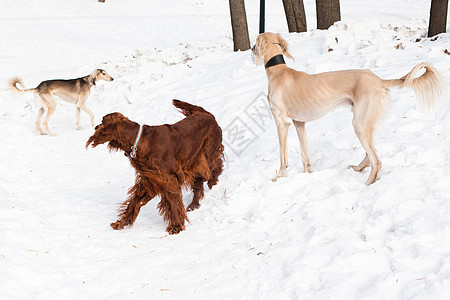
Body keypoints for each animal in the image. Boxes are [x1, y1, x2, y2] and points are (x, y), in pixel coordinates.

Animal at [85, 101, 223, 234]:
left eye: (102, 122)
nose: (95, 127)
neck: (139, 141)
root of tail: (204, 113)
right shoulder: (151, 179)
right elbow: (135, 201)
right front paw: (122, 222)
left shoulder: (169, 178)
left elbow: (174, 202)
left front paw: (176, 226)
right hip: (195, 161)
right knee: (198, 181)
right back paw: (194, 204)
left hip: (206, 155)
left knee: (215, 166)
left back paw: (212, 182)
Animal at [253, 31, 446, 184]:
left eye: (255, 42)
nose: (251, 48)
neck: (279, 72)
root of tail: (378, 79)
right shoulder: (299, 123)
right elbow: (304, 155)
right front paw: (307, 175)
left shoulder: (281, 122)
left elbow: (282, 157)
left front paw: (279, 177)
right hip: (365, 122)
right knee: (371, 154)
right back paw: (359, 169)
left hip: (359, 123)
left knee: (376, 160)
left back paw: (367, 184)